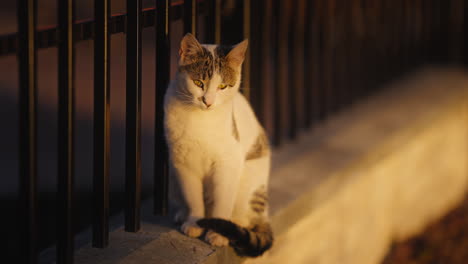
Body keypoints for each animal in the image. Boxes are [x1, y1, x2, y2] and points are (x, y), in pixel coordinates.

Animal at [165, 33, 274, 258]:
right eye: (198, 82)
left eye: (223, 86)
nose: (208, 101)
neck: (201, 119)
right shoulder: (183, 163)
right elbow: (193, 197)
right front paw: (194, 222)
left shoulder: (227, 163)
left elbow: (223, 201)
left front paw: (218, 234)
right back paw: (182, 214)